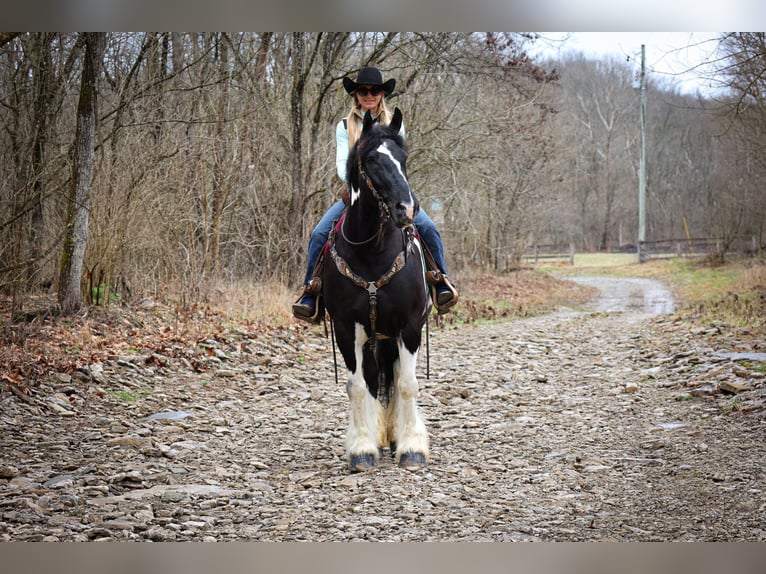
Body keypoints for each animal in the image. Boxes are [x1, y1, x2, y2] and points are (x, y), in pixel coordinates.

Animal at [322, 108, 432, 472]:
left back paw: (395, 436)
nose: (406, 209)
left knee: (395, 379)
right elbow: (357, 387)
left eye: (403, 157)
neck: (372, 250)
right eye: (371, 160)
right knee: (371, 380)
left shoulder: (409, 326)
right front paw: (361, 449)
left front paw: (412, 448)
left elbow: (408, 385)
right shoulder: (347, 329)